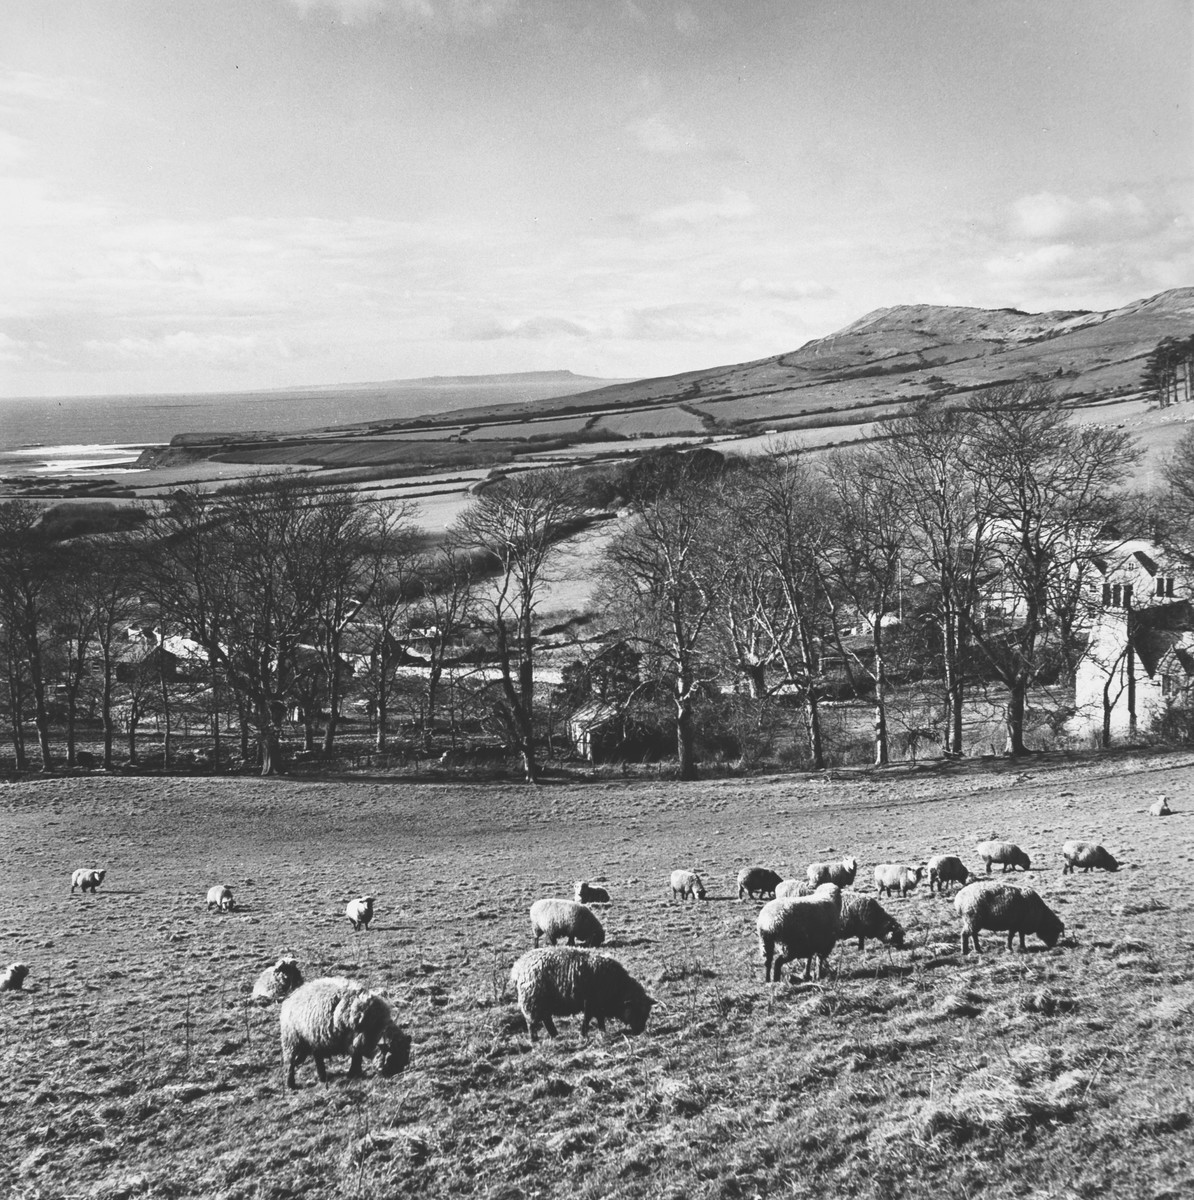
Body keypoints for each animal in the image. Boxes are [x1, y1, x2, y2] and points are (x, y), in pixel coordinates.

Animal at [278, 979, 410, 1094]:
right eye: (392, 1056)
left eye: (405, 1054)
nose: (397, 1073)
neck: (375, 1028)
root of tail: (290, 998)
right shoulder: (354, 1041)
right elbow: (356, 1058)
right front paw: (353, 1074)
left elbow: (357, 1058)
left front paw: (356, 1073)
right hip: (292, 1041)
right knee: (289, 1063)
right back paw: (291, 1085)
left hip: (313, 1043)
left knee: (317, 1059)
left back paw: (322, 1077)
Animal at [508, 945, 657, 1041]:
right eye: (636, 1010)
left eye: (646, 1012)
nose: (639, 1031)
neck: (618, 986)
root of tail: (518, 967)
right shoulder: (591, 1003)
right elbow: (587, 1019)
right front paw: (584, 1034)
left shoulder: (598, 1005)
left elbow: (600, 1019)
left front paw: (603, 1032)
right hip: (532, 1001)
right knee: (532, 1023)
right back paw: (535, 1040)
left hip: (542, 1003)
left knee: (546, 1019)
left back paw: (555, 1035)